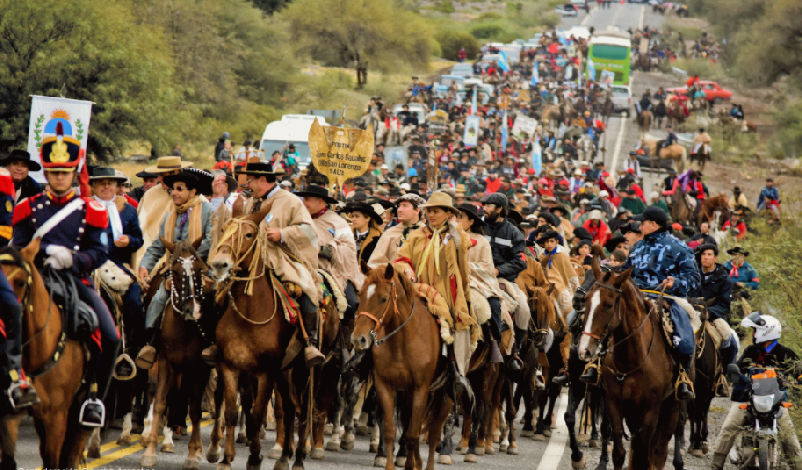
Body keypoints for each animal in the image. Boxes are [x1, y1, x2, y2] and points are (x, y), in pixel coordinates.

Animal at [140, 237, 214, 470]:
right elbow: (160, 400)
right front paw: (149, 450)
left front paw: (192, 454)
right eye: (175, 270)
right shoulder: (166, 362)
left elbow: (195, 410)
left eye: (199, 267)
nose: (193, 310)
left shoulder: (198, 368)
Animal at [206, 200, 311, 470]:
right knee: (289, 407)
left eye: (249, 235)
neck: (248, 315)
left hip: (300, 372)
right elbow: (232, 412)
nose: (219, 264)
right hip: (283, 374)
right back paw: (284, 457)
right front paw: (226, 459)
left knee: (301, 410)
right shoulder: (230, 366)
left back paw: (297, 459)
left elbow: (255, 415)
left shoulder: (266, 372)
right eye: (224, 230)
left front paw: (254, 458)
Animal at [353, 264, 453, 470]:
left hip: (444, 396)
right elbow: (391, 431)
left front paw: (411, 464)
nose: (359, 338)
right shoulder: (385, 386)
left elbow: (413, 434)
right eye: (361, 295)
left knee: (433, 434)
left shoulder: (420, 389)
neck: (402, 341)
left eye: (383, 298)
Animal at [577, 260, 693, 470]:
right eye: (587, 300)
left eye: (608, 305)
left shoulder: (650, 410)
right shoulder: (614, 404)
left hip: (672, 407)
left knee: (659, 452)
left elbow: (643, 456)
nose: (584, 350)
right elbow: (620, 453)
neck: (631, 360)